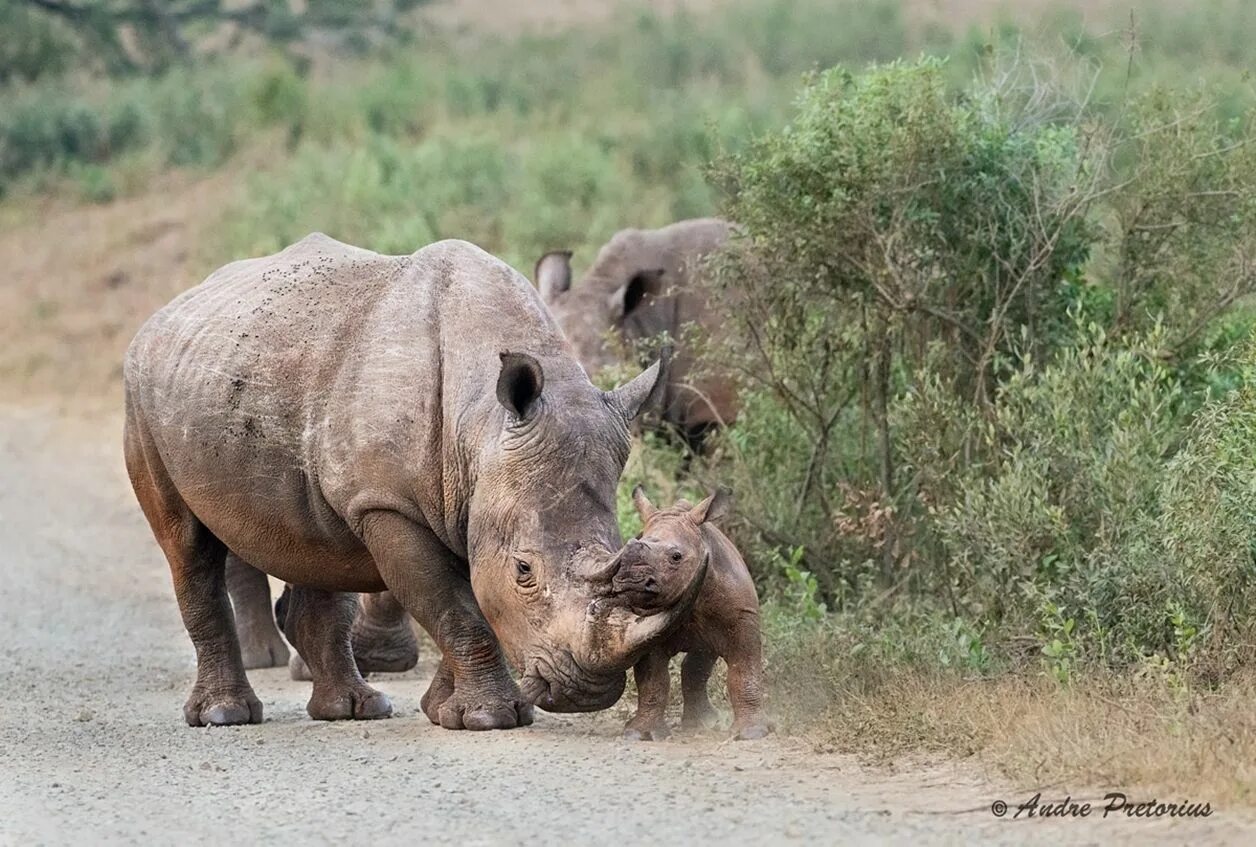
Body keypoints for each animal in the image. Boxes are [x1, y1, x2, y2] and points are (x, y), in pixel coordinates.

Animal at [607, 487, 763, 738]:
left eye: (676, 556)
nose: (630, 580)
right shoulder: (645, 625)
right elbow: (653, 680)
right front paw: (639, 734)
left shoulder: (742, 617)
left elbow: (744, 670)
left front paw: (752, 733)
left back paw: (705, 724)